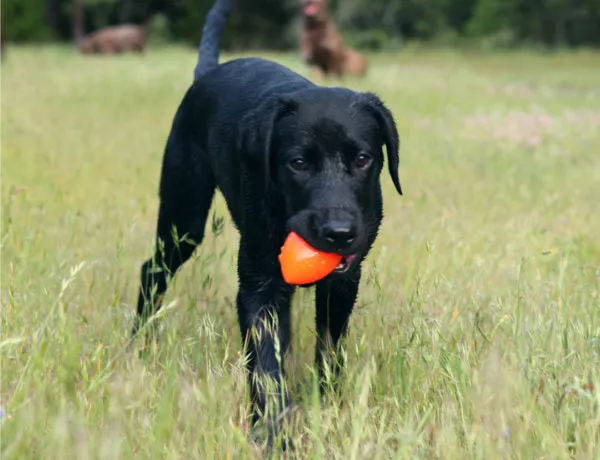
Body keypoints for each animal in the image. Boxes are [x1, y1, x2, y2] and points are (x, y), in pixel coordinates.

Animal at [132, 0, 404, 446]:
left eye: (363, 159)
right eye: (298, 163)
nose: (339, 233)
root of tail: (207, 73)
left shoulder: (344, 282)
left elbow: (329, 349)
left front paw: (325, 404)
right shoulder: (258, 286)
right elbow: (265, 367)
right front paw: (274, 434)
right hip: (183, 219)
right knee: (151, 271)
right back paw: (138, 343)